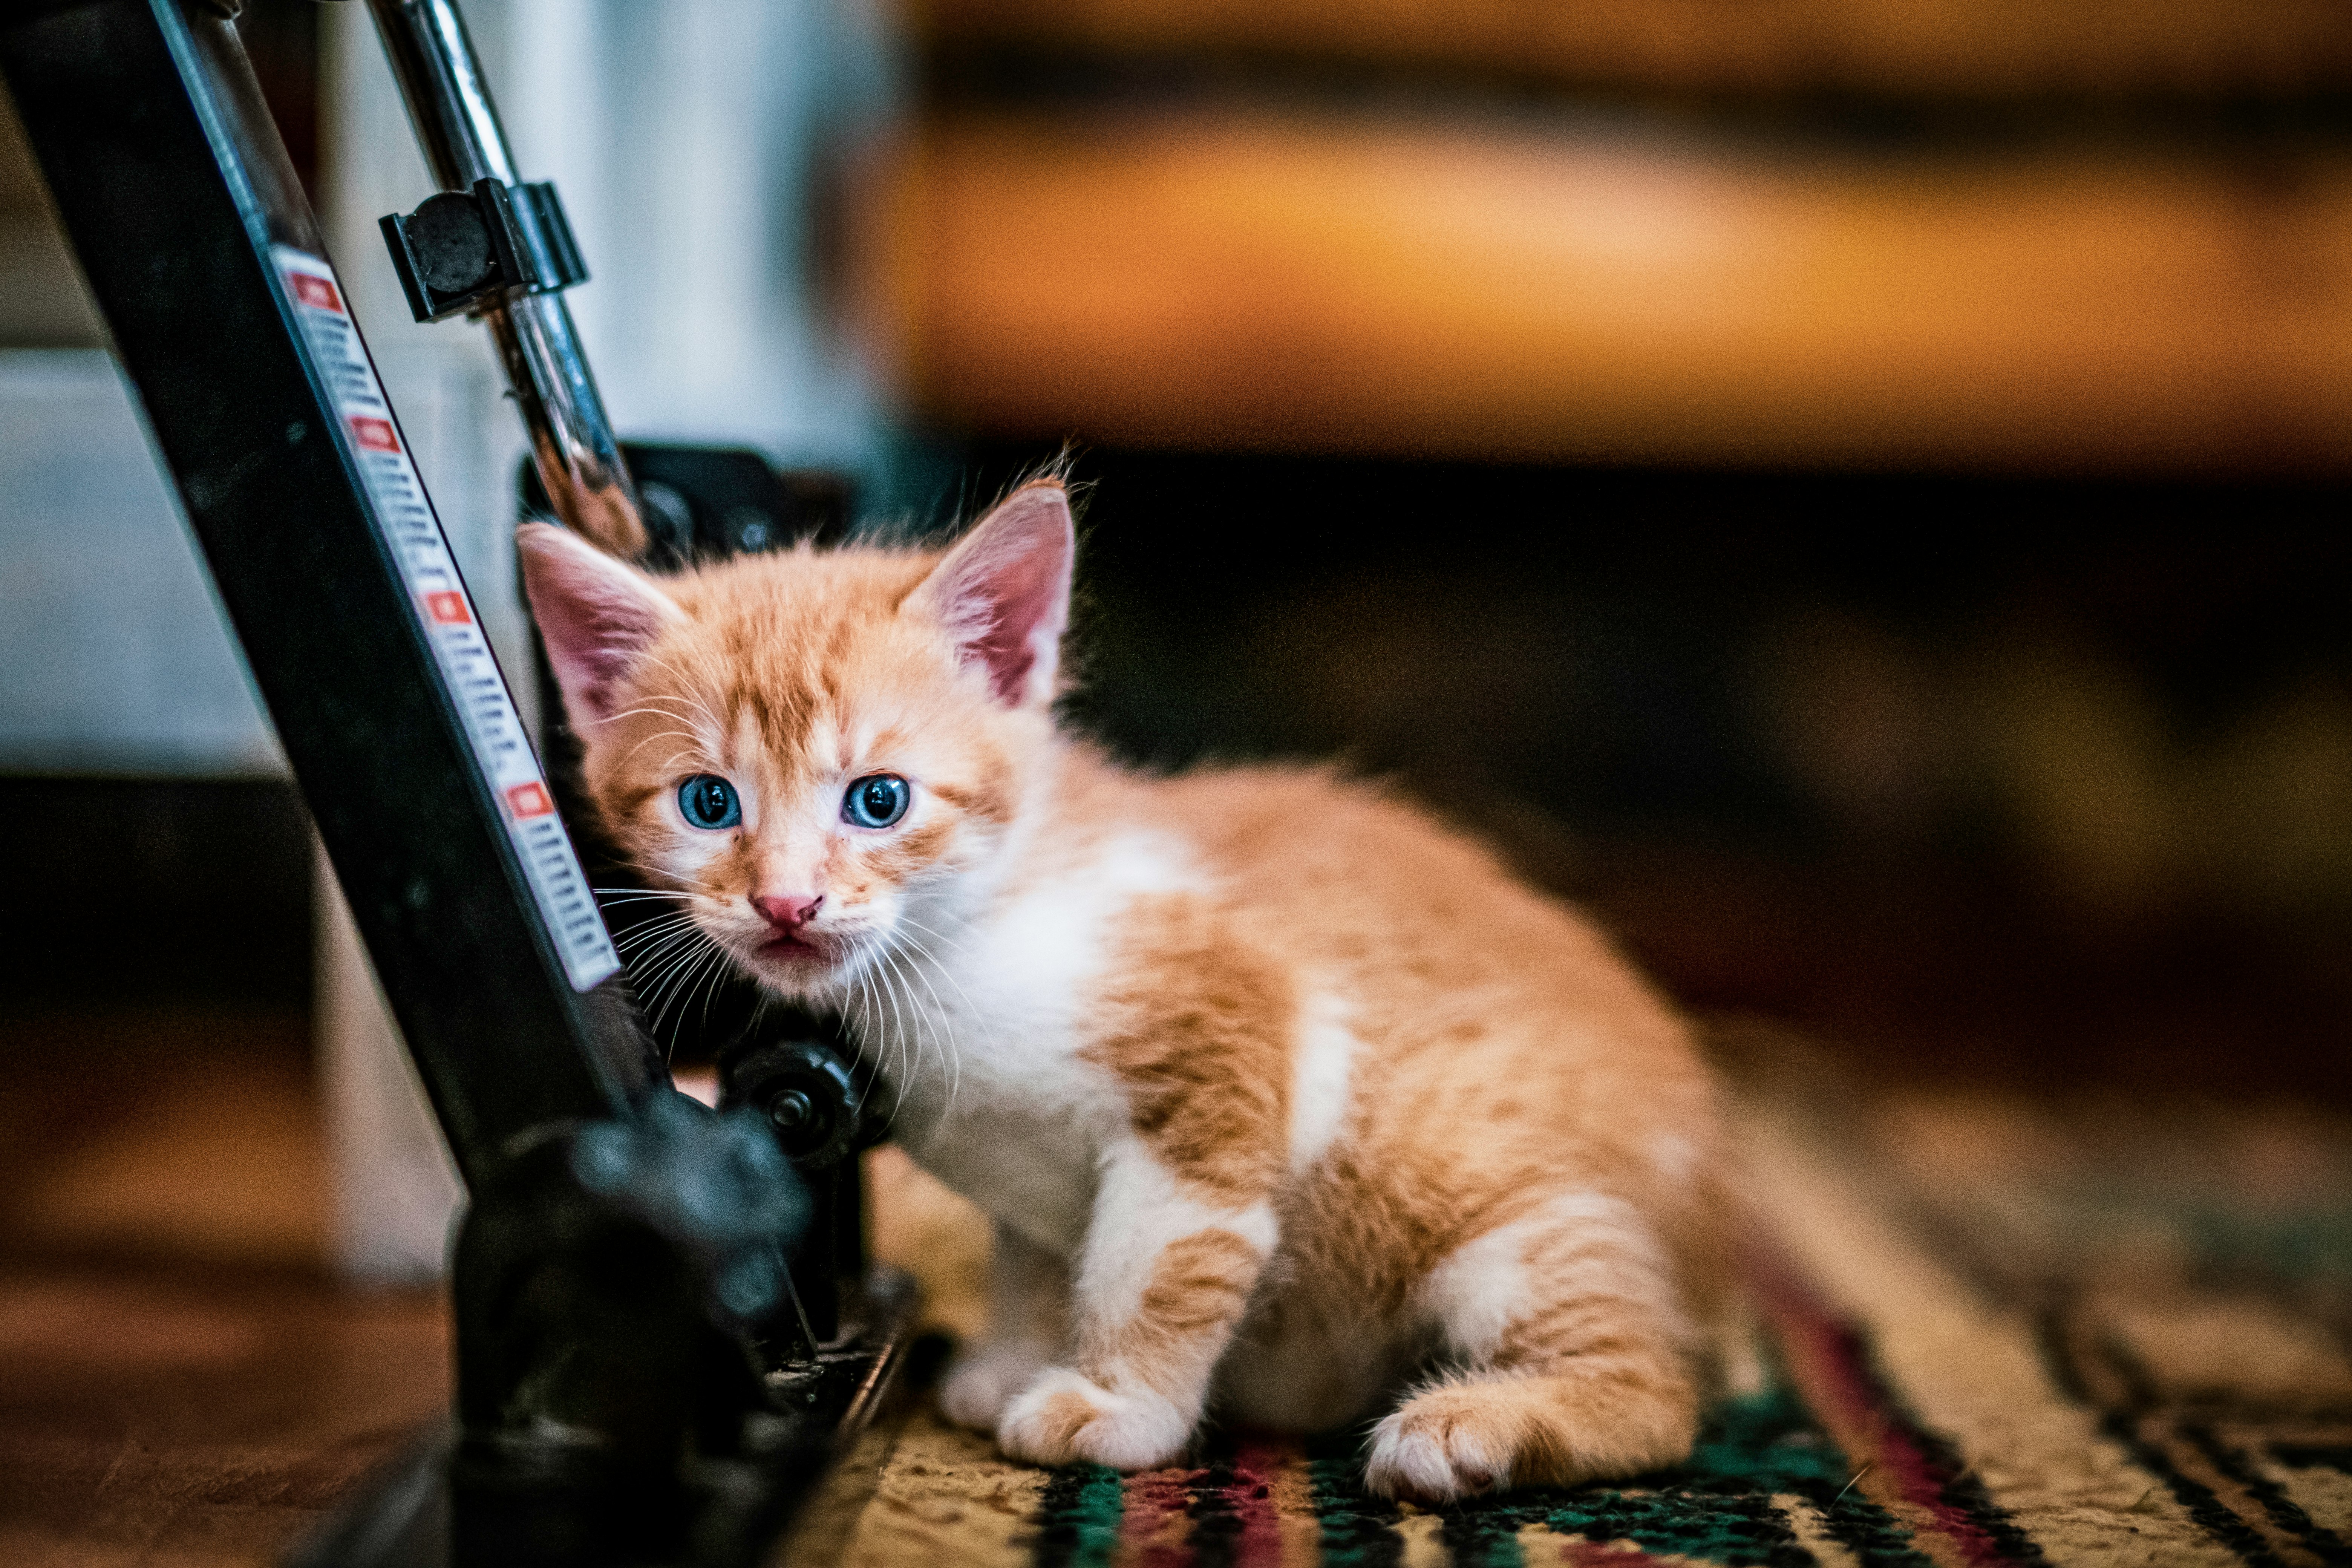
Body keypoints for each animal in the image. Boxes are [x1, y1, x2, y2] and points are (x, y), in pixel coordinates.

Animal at [520, 475, 1731, 1495]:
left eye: (879, 800)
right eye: (707, 804)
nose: (786, 905)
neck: (961, 948)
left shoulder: (1232, 1042)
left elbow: (1159, 1262)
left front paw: (1116, 1406)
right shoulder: (1024, 1172)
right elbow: (1036, 1255)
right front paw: (1015, 1356)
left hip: (1489, 1196)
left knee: (1659, 1388)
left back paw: (1471, 1426)